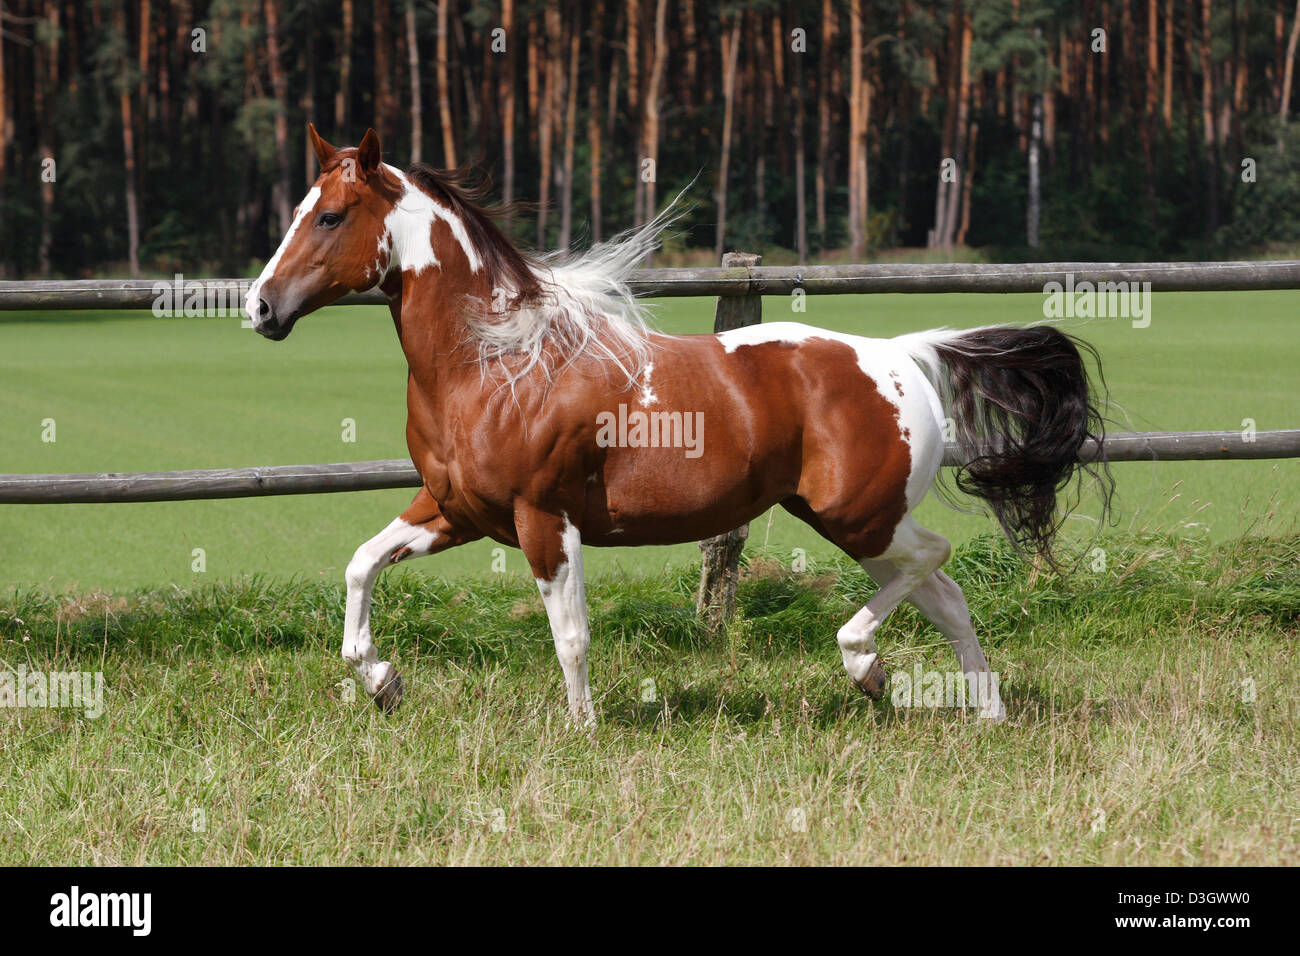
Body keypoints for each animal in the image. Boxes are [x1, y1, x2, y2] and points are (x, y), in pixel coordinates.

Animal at [245, 124, 1110, 726]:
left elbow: (570, 635)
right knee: (948, 594)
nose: (259, 307)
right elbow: (362, 565)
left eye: (330, 217)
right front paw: (382, 682)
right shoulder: (455, 510)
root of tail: (902, 353)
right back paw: (985, 713)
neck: (496, 361)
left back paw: (867, 667)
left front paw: (583, 730)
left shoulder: (542, 517)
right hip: (859, 523)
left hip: (859, 515)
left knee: (935, 560)